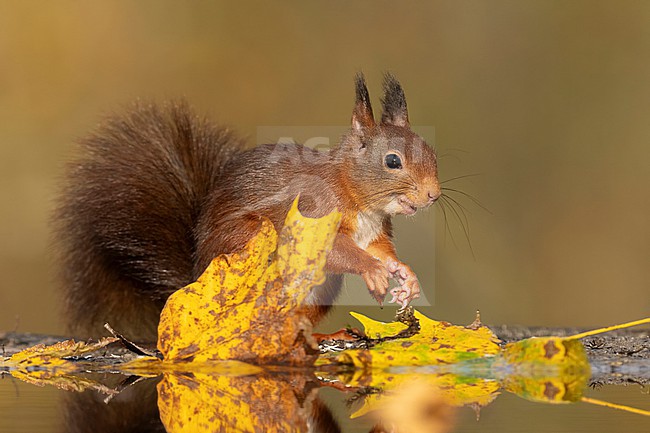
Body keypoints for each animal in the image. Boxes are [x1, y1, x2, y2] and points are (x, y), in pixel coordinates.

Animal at [55, 73, 440, 341]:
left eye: (430, 150)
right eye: (393, 161)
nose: (433, 195)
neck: (357, 197)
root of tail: (193, 288)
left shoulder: (373, 232)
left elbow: (381, 250)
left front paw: (405, 276)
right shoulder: (311, 213)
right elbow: (334, 250)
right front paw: (373, 271)